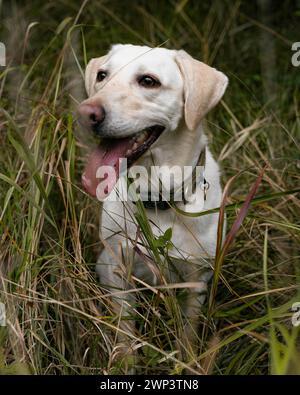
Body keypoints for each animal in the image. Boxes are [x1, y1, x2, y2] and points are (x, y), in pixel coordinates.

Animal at [77, 44, 227, 368]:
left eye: (148, 81)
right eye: (102, 75)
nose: (85, 113)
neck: (157, 199)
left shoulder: (196, 281)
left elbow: (188, 333)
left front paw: (185, 361)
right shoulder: (117, 270)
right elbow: (125, 330)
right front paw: (125, 362)